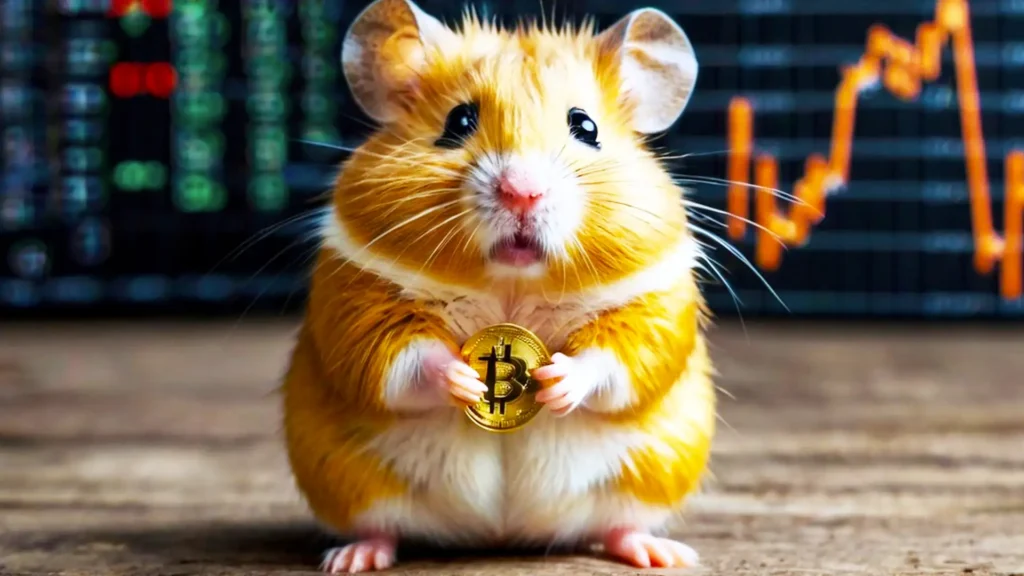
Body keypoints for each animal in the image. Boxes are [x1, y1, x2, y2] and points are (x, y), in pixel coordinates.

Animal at [281, 0, 717, 573]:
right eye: (458, 121)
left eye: (586, 126)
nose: (523, 192)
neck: (512, 283)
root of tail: (500, 534)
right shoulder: (355, 297)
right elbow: (400, 358)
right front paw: (466, 379)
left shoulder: (657, 300)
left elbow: (618, 358)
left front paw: (556, 380)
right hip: (346, 475)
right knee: (380, 525)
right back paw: (353, 557)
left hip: (654, 470)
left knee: (619, 524)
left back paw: (660, 553)